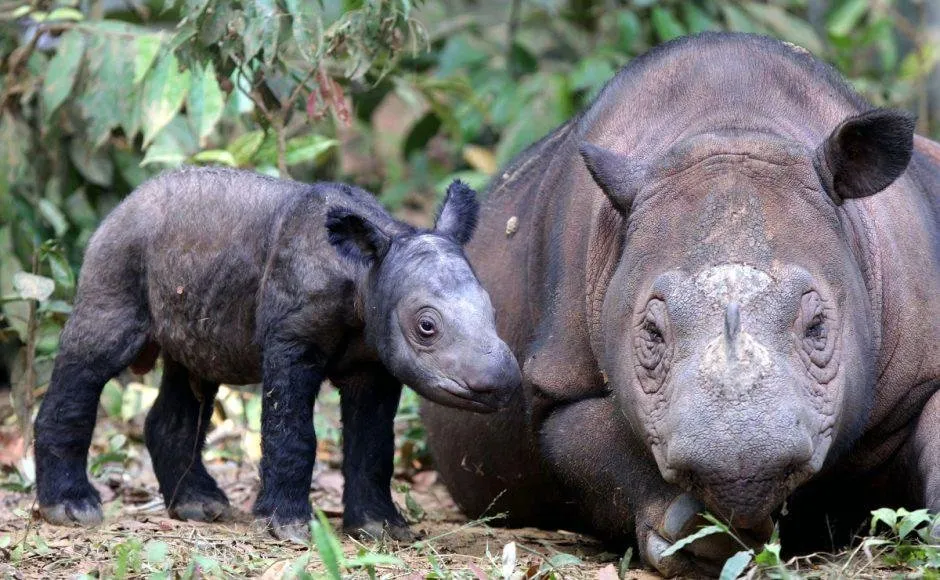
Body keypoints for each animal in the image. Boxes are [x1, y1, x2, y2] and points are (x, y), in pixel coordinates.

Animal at [35, 165, 520, 540]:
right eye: (426, 327)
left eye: (494, 310)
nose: (501, 383)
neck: (366, 272)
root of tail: (123, 204)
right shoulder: (292, 340)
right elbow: (292, 432)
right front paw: (285, 528)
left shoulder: (375, 360)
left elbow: (374, 443)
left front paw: (380, 529)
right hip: (119, 254)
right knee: (95, 355)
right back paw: (72, 509)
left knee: (192, 373)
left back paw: (198, 506)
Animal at [424, 32, 940, 576]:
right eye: (652, 335)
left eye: (818, 327)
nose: (742, 471)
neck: (733, 123)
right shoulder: (557, 380)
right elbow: (588, 442)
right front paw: (699, 539)